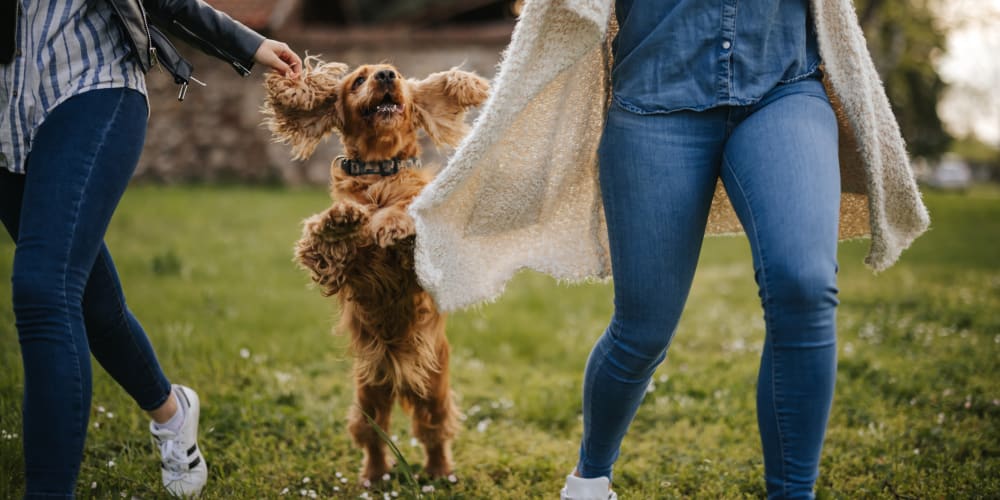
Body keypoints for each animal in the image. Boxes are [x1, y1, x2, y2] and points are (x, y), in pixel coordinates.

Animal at [262, 56, 488, 482]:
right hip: (368, 394)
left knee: (434, 433)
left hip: (433, 390)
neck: (380, 172)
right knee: (374, 436)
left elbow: (404, 214)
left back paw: (439, 473)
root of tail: (399, 375)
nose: (386, 76)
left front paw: (393, 223)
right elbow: (325, 241)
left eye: (395, 73)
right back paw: (374, 476)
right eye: (358, 80)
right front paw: (340, 221)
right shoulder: (343, 270)